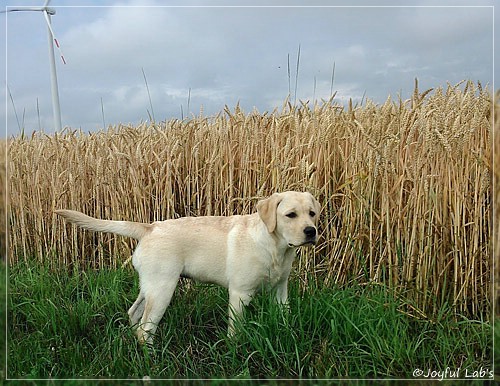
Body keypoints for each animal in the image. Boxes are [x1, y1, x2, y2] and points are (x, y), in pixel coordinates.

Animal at [54, 191, 320, 346]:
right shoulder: (240, 293)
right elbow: (235, 329)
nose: (311, 231)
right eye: (290, 215)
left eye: (312, 213)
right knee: (145, 328)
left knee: (134, 313)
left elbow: (284, 317)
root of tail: (149, 227)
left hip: (150, 285)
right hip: (163, 288)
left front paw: (288, 336)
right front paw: (235, 350)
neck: (275, 247)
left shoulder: (280, 290)